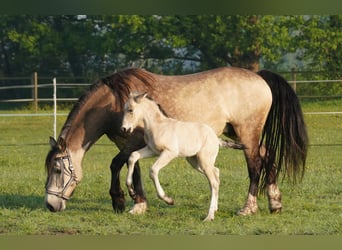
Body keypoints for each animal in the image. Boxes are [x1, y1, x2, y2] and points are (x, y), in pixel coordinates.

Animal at [121, 92, 244, 221]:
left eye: (130, 110)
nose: (124, 129)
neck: (158, 126)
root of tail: (216, 139)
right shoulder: (152, 150)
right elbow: (133, 156)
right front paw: (131, 191)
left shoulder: (169, 152)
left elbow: (153, 170)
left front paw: (168, 200)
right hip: (195, 162)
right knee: (216, 174)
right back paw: (215, 209)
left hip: (204, 162)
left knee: (214, 182)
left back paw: (209, 216)